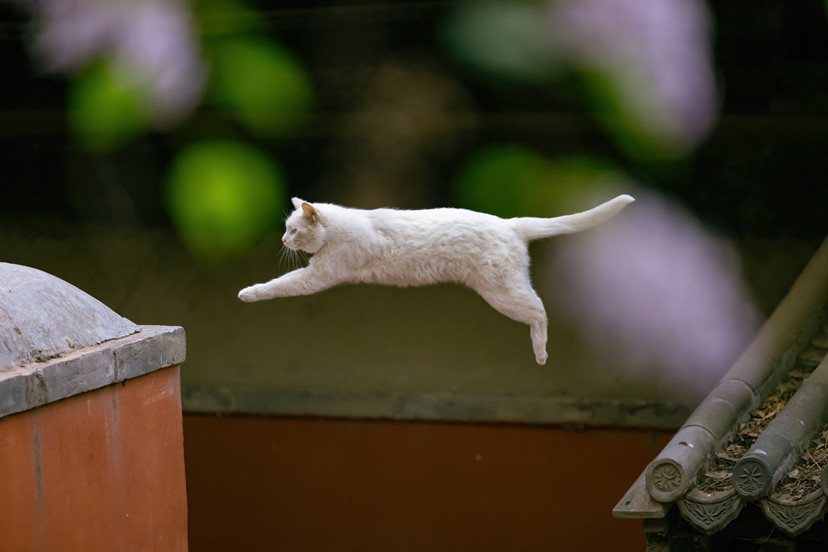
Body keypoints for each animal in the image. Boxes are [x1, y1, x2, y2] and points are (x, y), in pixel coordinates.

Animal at [236, 195, 636, 366]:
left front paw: (248, 292)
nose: (283, 240)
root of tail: (510, 223)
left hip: (502, 293)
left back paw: (541, 354)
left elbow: (281, 283)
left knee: (541, 312)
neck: (340, 229)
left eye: (292, 229)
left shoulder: (319, 276)